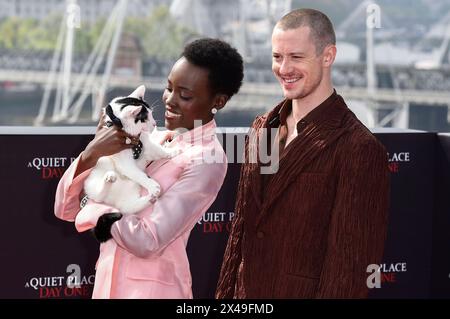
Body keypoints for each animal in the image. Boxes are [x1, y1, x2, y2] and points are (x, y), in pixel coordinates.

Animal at [83, 85, 178, 215]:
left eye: (151, 114)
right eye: (144, 118)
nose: (154, 124)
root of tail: (114, 201)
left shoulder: (148, 145)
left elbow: (159, 150)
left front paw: (172, 152)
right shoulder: (126, 164)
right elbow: (140, 175)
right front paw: (153, 185)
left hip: (129, 198)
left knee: (132, 206)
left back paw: (150, 199)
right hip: (94, 184)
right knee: (100, 194)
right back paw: (109, 178)